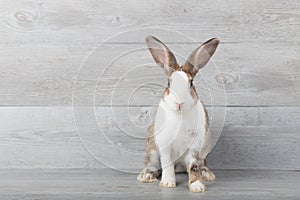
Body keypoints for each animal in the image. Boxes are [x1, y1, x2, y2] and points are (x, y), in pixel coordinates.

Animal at [137, 36, 219, 192]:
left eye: (191, 83)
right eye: (169, 83)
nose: (179, 103)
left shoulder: (195, 147)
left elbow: (193, 166)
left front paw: (197, 186)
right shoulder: (165, 145)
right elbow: (167, 164)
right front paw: (168, 183)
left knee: (199, 165)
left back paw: (206, 174)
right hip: (152, 148)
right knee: (152, 163)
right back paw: (146, 175)